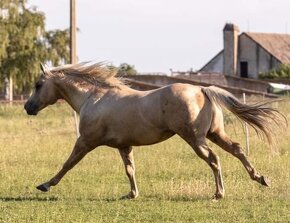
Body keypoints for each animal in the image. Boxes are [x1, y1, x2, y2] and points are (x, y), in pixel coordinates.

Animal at [24, 62, 284, 200]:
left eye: (38, 85)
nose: (28, 107)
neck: (93, 98)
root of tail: (202, 89)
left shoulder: (85, 142)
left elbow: (67, 164)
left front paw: (45, 185)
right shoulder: (124, 146)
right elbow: (130, 169)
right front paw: (132, 194)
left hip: (195, 138)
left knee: (214, 158)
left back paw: (219, 193)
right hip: (215, 133)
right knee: (237, 150)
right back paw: (261, 178)